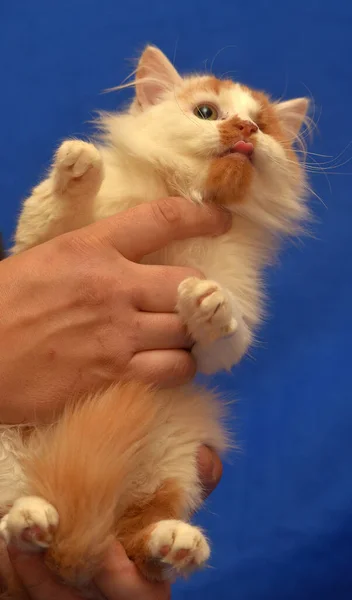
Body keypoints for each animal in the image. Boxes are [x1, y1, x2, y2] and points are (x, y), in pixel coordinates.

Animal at [0, 45, 308, 596]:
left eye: (262, 125)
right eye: (207, 112)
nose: (244, 130)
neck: (186, 194)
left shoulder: (228, 321)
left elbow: (226, 332)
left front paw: (207, 300)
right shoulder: (40, 247)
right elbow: (50, 216)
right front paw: (78, 164)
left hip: (176, 452)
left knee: (136, 535)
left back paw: (175, 543)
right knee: (7, 521)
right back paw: (30, 519)